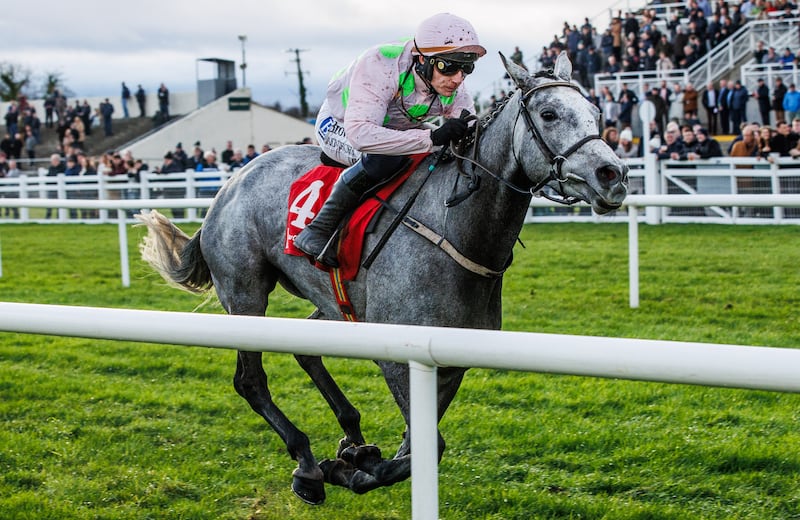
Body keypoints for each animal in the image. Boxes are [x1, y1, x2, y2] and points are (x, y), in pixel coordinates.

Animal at [136, 52, 624, 504]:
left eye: (597, 113)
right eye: (549, 113)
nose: (614, 175)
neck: (455, 227)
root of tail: (230, 183)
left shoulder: (451, 359)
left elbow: (416, 445)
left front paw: (357, 460)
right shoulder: (398, 356)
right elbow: (428, 447)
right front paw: (353, 468)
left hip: (334, 301)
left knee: (306, 350)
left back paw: (350, 434)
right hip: (244, 292)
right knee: (250, 382)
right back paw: (307, 464)